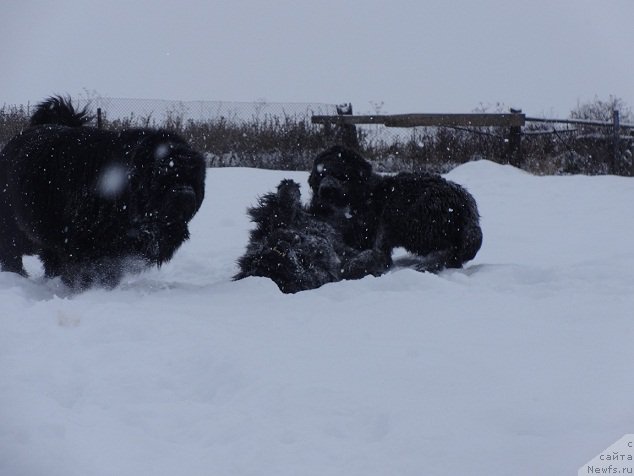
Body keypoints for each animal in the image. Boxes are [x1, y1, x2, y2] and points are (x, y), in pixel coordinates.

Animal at [0, 96, 205, 288]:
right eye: (163, 177)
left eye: (193, 179)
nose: (185, 194)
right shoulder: (83, 242)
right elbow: (85, 269)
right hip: (15, 226)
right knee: (12, 250)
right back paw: (17, 275)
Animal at [233, 179, 386, 294]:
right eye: (280, 268)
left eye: (268, 255)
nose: (281, 246)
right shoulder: (325, 272)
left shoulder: (272, 224)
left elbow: (284, 208)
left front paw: (288, 186)